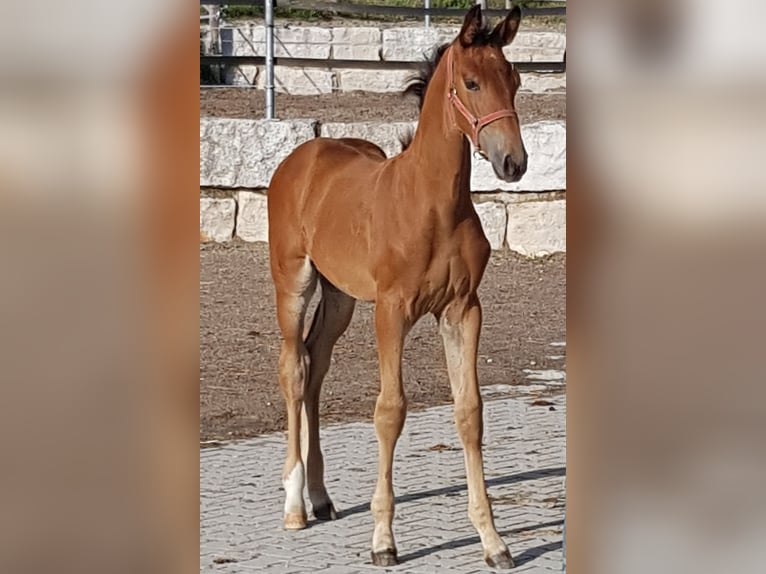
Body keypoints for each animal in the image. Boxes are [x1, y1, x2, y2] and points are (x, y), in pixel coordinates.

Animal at [268, 5, 528, 572]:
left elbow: (469, 412)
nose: (514, 164)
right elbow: (390, 412)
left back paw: (321, 497)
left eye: (515, 80)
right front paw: (383, 540)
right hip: (294, 283)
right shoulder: (392, 310)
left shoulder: (462, 309)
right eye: (471, 83)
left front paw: (494, 541)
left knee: (316, 366)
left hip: (340, 296)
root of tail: (303, 155)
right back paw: (294, 504)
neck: (433, 205)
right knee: (294, 369)